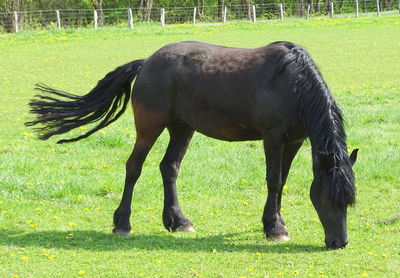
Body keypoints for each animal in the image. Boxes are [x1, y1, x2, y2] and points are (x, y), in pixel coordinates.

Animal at [26, 41, 358, 250]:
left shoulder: (294, 140)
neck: (291, 84)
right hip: (150, 127)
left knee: (168, 167)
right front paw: (274, 228)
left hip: (182, 128)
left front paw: (275, 223)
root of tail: (146, 63)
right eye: (328, 197)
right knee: (134, 167)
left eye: (348, 200)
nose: (338, 243)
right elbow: (274, 181)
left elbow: (282, 182)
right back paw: (123, 224)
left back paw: (177, 221)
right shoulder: (273, 137)